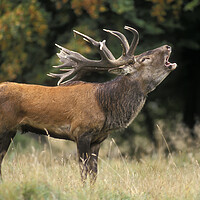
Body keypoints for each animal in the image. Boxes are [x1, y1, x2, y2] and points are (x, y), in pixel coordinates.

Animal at [0, 26, 177, 184]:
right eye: (144, 59)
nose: (167, 46)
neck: (105, 105)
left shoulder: (97, 140)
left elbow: (94, 173)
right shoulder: (81, 131)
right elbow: (84, 171)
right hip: (6, 127)